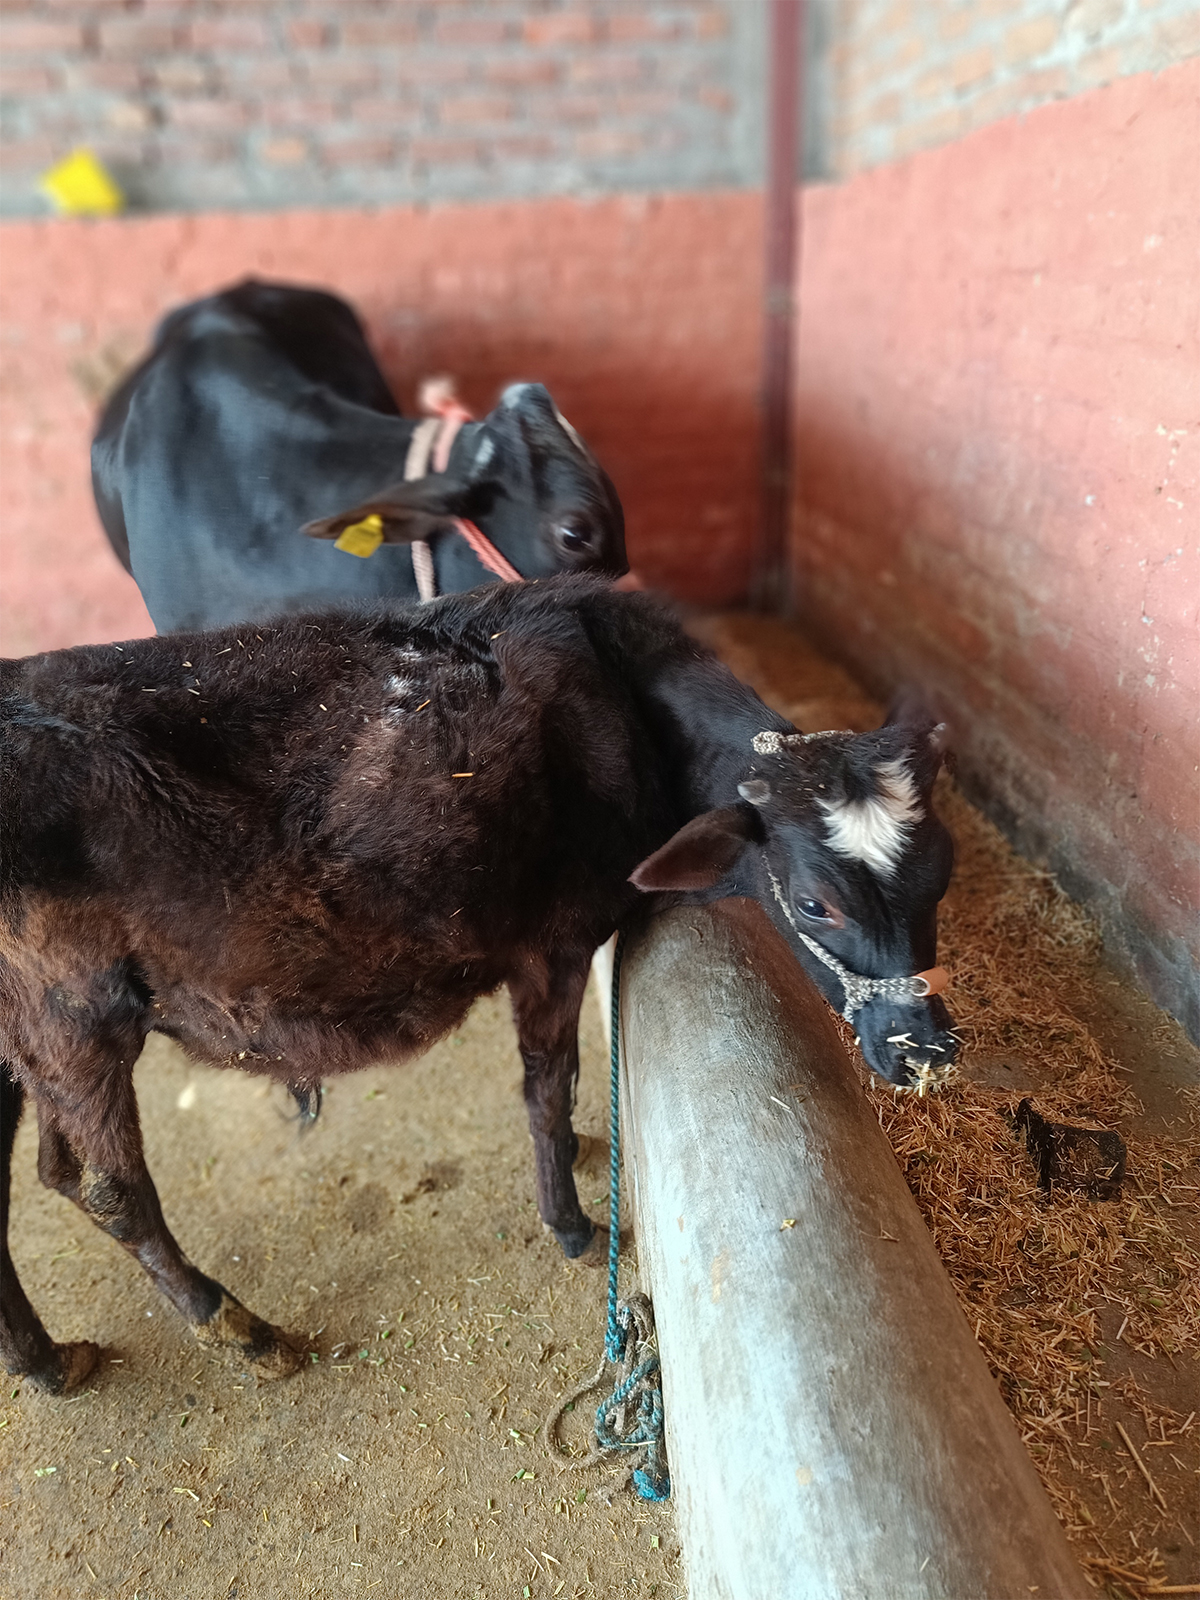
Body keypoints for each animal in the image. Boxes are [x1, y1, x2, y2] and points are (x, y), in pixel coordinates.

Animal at [1, 577, 956, 1393]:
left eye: (941, 872)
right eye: (814, 902)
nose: (925, 1049)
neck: (619, 700)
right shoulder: (553, 943)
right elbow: (548, 1082)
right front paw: (570, 1222)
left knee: (47, 1175)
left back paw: (48, 1362)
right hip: (74, 1021)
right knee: (110, 1190)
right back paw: (241, 1330)